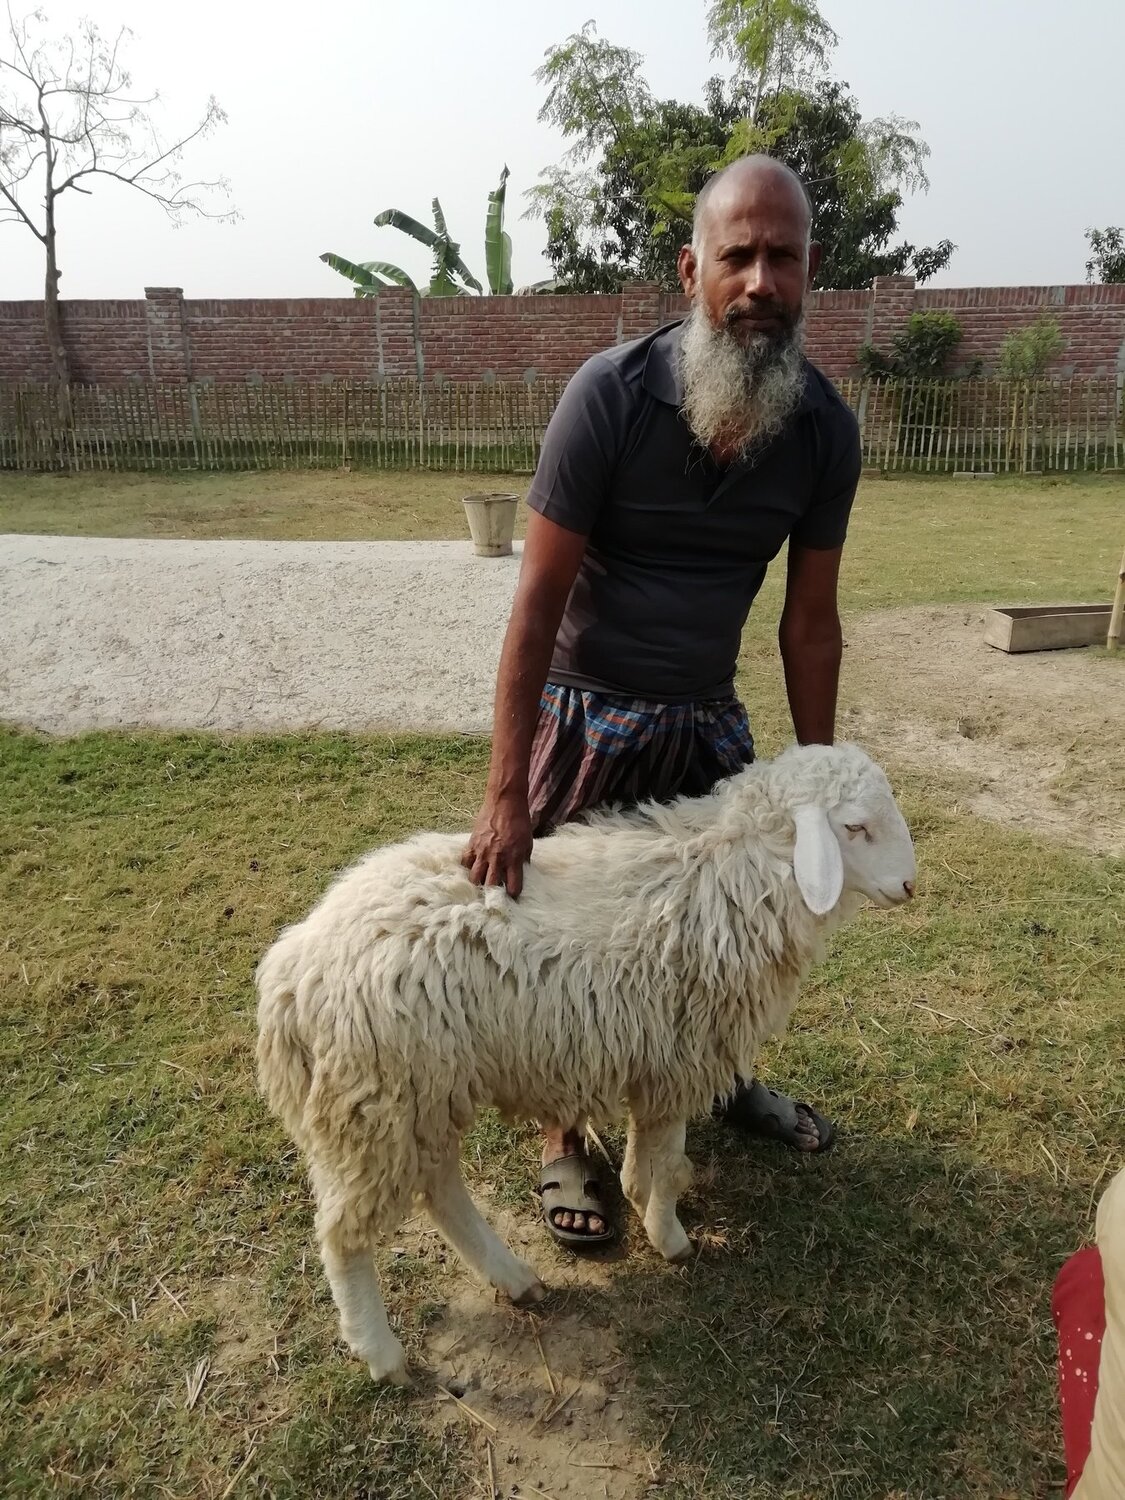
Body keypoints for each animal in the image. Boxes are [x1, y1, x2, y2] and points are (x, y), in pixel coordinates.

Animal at [255, 741, 916, 1385]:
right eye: (855, 828)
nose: (910, 886)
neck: (737, 876)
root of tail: (291, 970)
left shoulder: (658, 1060)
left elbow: (652, 1150)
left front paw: (640, 1191)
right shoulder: (683, 1056)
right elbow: (668, 1161)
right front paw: (670, 1236)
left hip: (420, 1094)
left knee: (439, 1189)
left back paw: (513, 1279)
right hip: (377, 1099)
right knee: (345, 1237)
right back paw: (381, 1353)